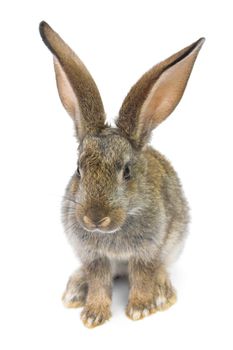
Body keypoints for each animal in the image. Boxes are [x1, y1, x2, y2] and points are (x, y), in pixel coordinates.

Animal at [39, 21, 204, 328]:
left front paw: (140, 309)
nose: (94, 217)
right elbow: (99, 281)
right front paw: (93, 315)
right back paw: (75, 290)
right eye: (78, 169)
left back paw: (162, 292)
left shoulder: (147, 251)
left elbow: (142, 276)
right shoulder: (94, 257)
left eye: (126, 172)